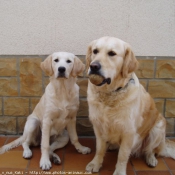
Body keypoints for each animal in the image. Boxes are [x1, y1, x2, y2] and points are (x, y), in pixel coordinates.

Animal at [85, 36, 175, 174]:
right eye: (95, 51)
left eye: (112, 53)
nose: (93, 66)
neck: (110, 94)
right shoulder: (98, 126)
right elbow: (99, 148)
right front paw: (95, 163)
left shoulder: (128, 132)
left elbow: (122, 155)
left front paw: (119, 172)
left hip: (158, 128)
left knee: (150, 150)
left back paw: (151, 159)